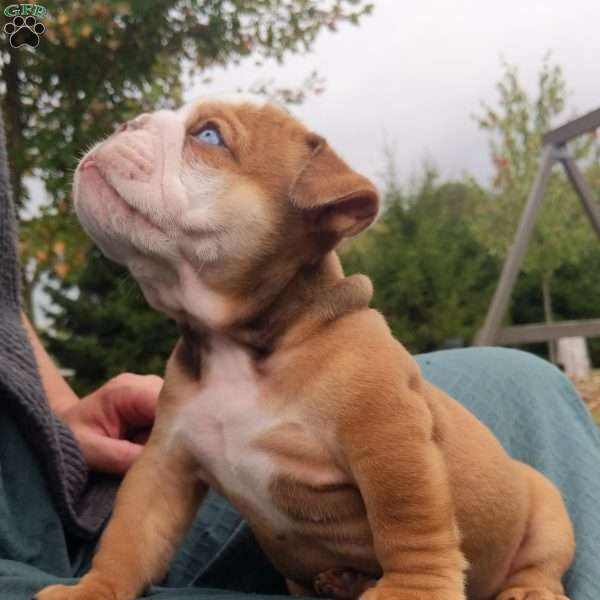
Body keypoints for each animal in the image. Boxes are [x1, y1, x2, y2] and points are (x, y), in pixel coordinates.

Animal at [35, 94, 576, 600]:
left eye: (208, 136)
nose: (126, 123)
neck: (236, 345)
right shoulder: (165, 462)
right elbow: (131, 534)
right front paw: (94, 588)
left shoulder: (389, 441)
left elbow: (407, 523)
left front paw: (410, 590)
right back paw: (343, 580)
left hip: (547, 507)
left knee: (540, 562)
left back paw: (527, 588)